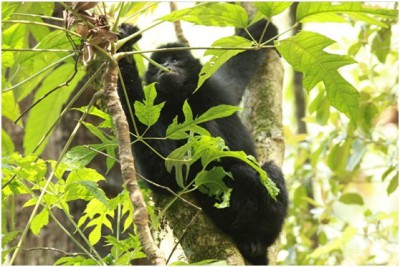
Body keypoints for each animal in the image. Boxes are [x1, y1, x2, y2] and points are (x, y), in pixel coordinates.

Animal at [117, 19, 290, 264]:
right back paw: (246, 239)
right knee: (240, 171)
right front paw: (124, 56)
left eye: (175, 59)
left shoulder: (216, 88)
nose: (164, 66)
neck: (184, 99)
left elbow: (234, 70)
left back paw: (256, 242)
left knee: (270, 171)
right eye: (158, 63)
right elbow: (164, 174)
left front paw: (262, 30)